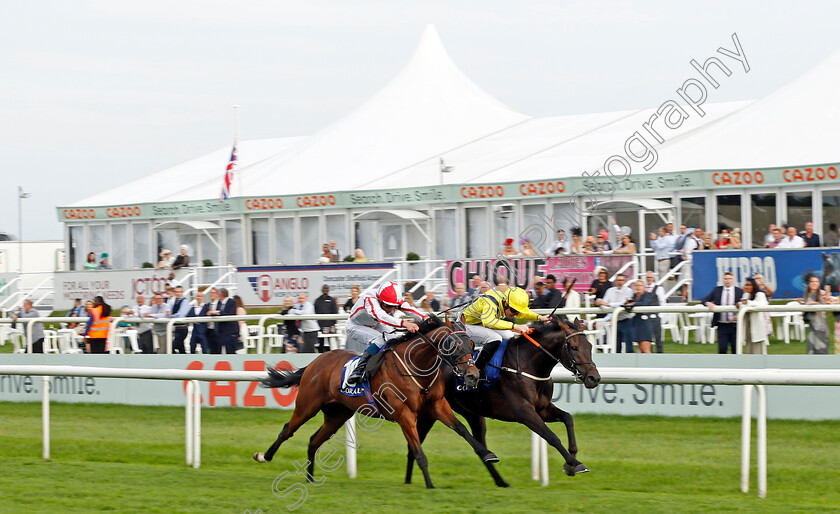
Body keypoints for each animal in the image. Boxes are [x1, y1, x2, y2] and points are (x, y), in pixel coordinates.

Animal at [251, 314, 498, 486]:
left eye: (471, 345)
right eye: (453, 345)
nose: (472, 375)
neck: (416, 368)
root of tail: (315, 362)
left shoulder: (437, 406)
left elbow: (462, 430)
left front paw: (488, 454)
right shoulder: (404, 414)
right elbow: (418, 452)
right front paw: (429, 485)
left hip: (338, 414)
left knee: (314, 440)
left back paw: (310, 479)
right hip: (307, 405)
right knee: (287, 429)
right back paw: (264, 456)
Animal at [406, 314, 596, 486]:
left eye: (590, 345)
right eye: (574, 347)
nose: (594, 378)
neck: (527, 364)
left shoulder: (542, 409)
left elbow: (568, 418)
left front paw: (571, 462)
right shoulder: (524, 412)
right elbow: (551, 436)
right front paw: (575, 464)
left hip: (472, 413)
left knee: (480, 446)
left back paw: (501, 481)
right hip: (430, 411)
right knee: (414, 444)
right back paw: (408, 481)